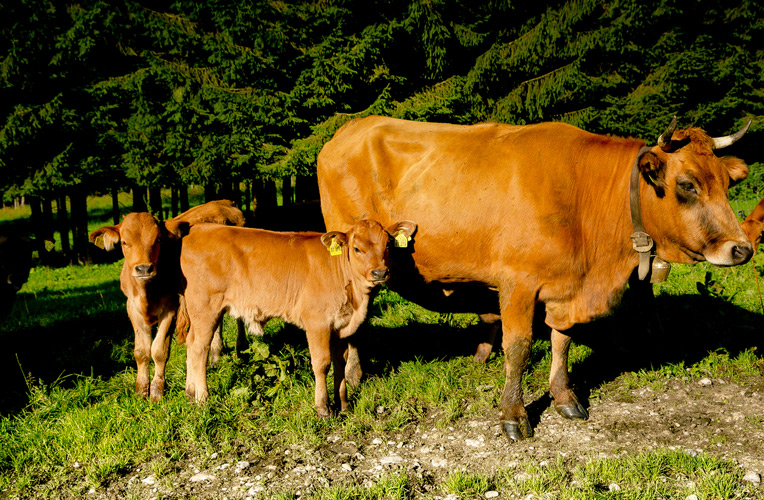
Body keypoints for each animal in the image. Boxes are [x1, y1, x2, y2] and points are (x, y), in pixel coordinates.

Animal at [89, 201, 245, 400]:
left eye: (158, 241)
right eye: (124, 242)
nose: (143, 268)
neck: (147, 292)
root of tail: (222, 203)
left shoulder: (171, 307)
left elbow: (159, 350)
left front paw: (157, 391)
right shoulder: (132, 307)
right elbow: (141, 351)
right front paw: (141, 390)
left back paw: (241, 349)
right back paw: (215, 356)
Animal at [178, 220, 418, 418]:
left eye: (387, 245)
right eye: (357, 248)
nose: (380, 273)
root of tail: (199, 229)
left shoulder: (340, 326)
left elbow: (340, 363)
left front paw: (344, 405)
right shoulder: (317, 323)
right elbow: (322, 363)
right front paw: (323, 408)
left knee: (191, 344)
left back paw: (190, 393)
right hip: (206, 308)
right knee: (200, 349)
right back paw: (202, 398)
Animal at [316, 114, 752, 442]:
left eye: (726, 183)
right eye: (687, 184)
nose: (742, 249)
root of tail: (349, 129)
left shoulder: (567, 287)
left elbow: (562, 341)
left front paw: (564, 397)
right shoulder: (518, 283)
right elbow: (519, 348)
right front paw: (513, 414)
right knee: (358, 319)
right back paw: (353, 375)